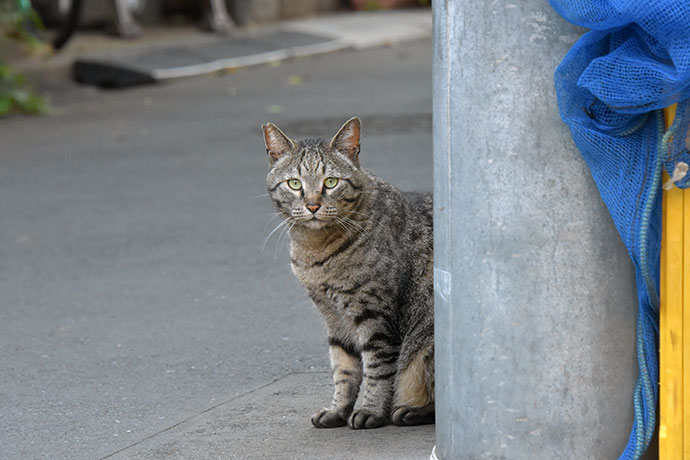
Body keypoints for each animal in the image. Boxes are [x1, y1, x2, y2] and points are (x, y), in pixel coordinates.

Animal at [260, 117, 432, 430]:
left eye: (331, 182)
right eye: (294, 184)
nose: (312, 205)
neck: (315, 252)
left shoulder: (375, 315)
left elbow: (378, 368)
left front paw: (372, 410)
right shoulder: (334, 318)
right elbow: (344, 368)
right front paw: (338, 409)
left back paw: (412, 410)